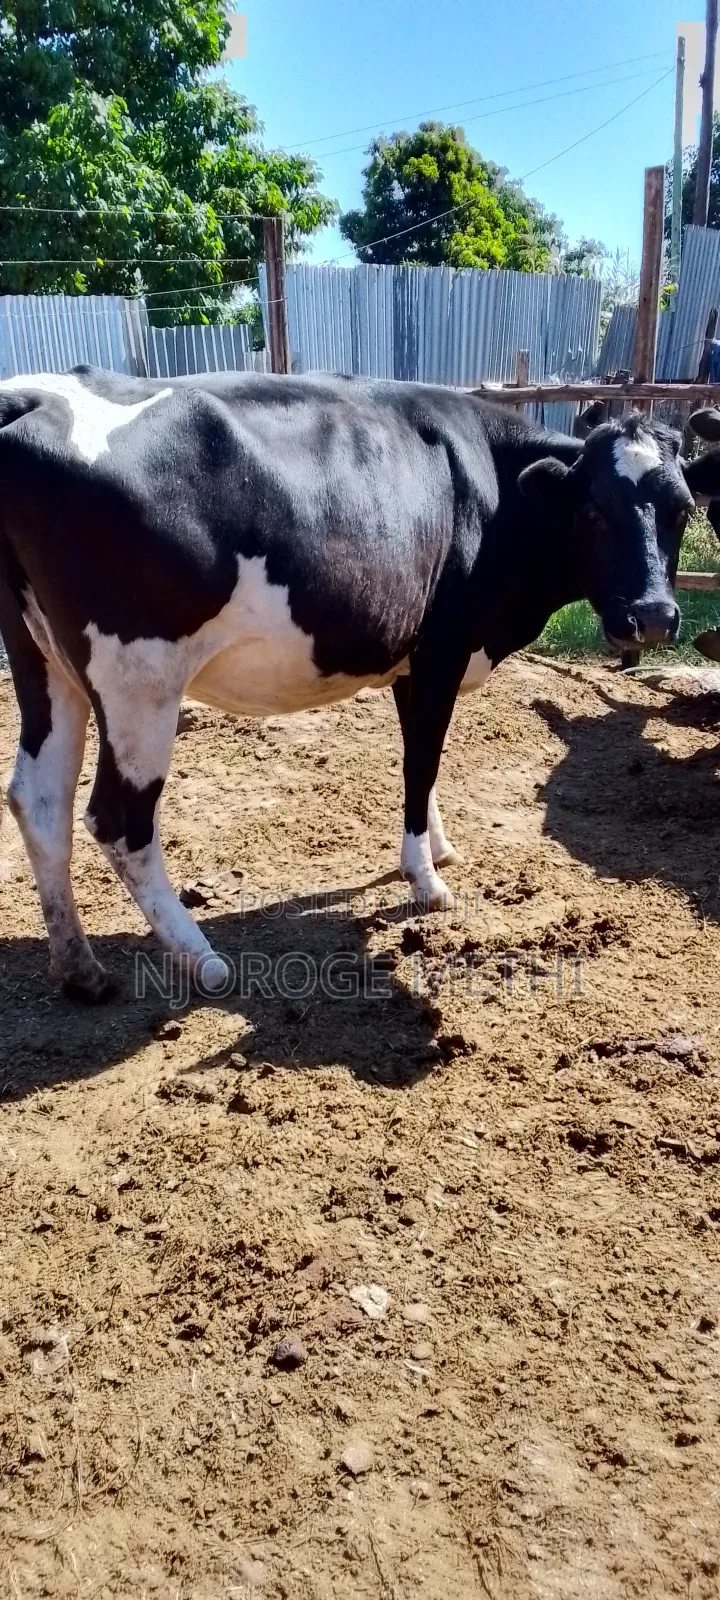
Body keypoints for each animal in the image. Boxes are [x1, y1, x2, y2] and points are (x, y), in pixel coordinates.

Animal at [0, 367, 715, 1002]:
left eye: (681, 510)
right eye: (593, 512)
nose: (653, 616)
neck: (493, 487)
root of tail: (32, 394)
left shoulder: (412, 661)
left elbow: (418, 758)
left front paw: (439, 848)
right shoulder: (443, 650)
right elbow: (423, 762)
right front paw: (425, 880)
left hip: (44, 663)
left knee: (38, 801)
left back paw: (80, 968)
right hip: (138, 680)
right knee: (118, 820)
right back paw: (201, 958)